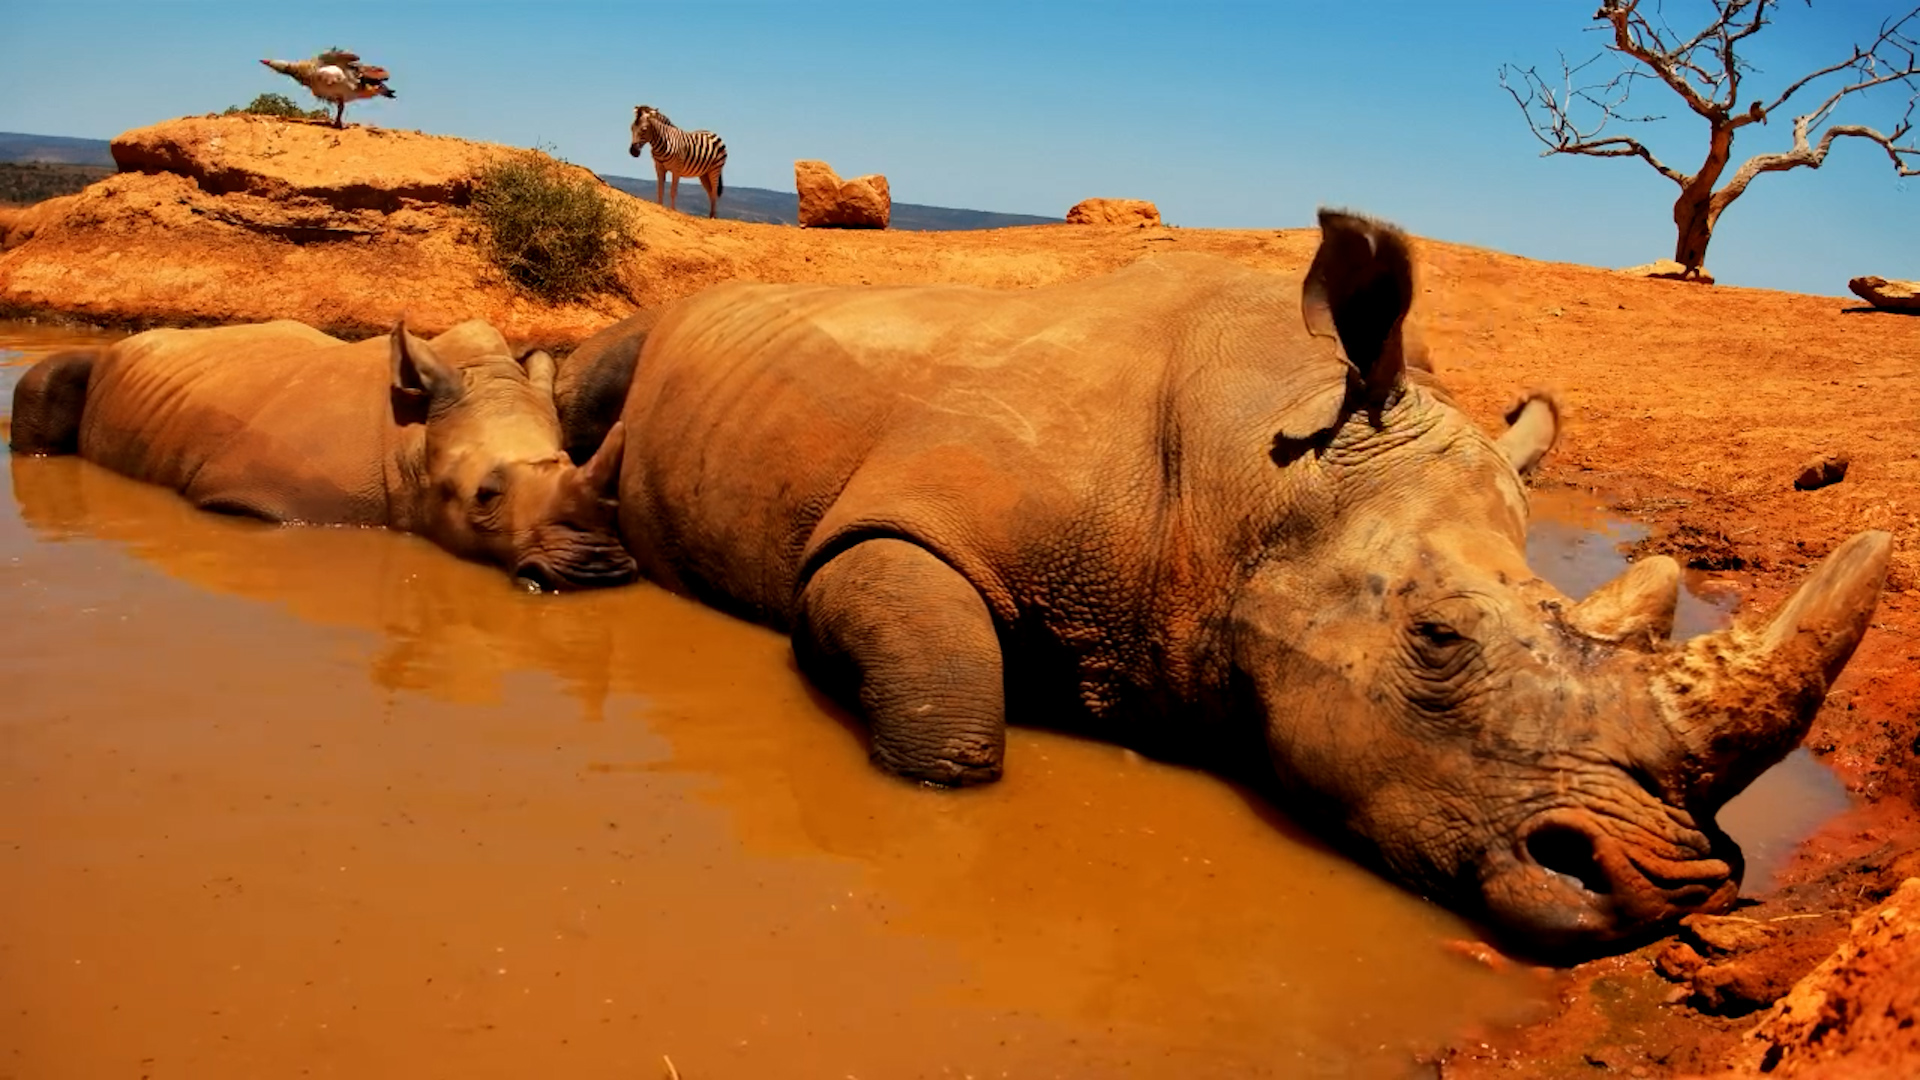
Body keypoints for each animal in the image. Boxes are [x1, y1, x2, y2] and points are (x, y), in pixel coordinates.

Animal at [569, 211, 1890, 953]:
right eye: (1437, 639)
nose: (1664, 892)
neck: (1252, 473)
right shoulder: (899, 531)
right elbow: (951, 724)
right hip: (665, 317)